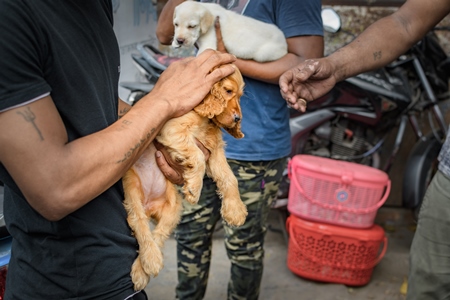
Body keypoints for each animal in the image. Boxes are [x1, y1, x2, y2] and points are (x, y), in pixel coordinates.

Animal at [121, 64, 248, 290]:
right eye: (228, 91)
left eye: (240, 96)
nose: (237, 119)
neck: (203, 118)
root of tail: (149, 206)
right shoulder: (172, 130)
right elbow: (196, 157)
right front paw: (194, 189)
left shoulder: (213, 148)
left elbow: (229, 177)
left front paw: (235, 210)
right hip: (133, 189)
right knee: (138, 221)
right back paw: (150, 261)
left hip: (174, 208)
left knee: (159, 233)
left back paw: (144, 267)